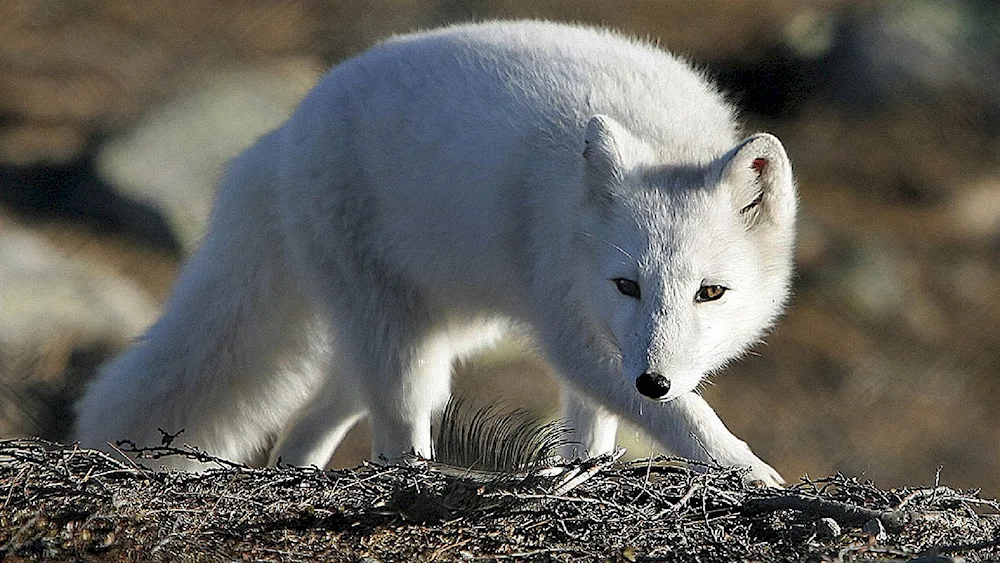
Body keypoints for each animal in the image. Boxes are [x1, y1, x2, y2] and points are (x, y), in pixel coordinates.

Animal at [74, 18, 796, 484]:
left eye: (710, 292)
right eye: (628, 284)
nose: (654, 378)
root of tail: (283, 133)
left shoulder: (596, 338)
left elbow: (596, 425)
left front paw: (581, 473)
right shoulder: (571, 325)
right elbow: (683, 418)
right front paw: (752, 474)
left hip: (435, 333)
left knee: (310, 422)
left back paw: (297, 478)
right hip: (402, 343)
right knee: (394, 428)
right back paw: (407, 479)